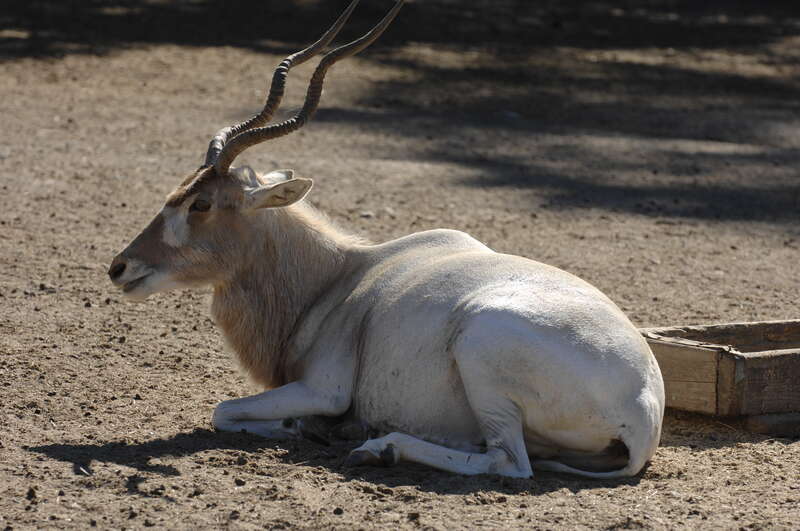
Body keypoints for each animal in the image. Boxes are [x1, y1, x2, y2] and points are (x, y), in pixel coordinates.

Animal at [108, 0, 665, 478]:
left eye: (200, 204)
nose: (120, 267)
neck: (336, 278)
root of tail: (644, 408)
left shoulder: (324, 388)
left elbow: (223, 410)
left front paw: (303, 427)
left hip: (481, 349)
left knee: (509, 461)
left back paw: (380, 446)